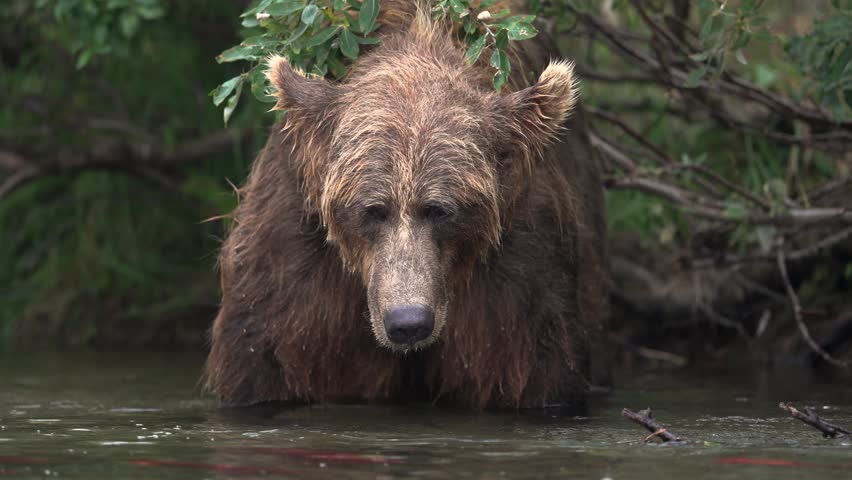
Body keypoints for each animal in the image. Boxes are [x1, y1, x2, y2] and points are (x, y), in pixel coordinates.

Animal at [204, 0, 608, 410]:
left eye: (441, 210)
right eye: (372, 210)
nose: (408, 322)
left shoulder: (516, 264)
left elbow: (528, 367)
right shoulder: (297, 256)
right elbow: (269, 357)